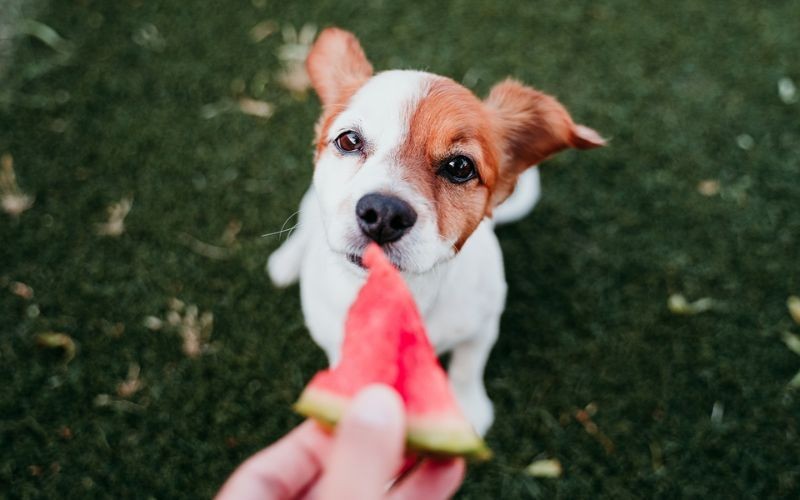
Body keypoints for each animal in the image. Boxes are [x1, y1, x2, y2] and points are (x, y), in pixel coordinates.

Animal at [266, 28, 604, 434]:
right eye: (348, 140)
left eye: (460, 166)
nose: (383, 213)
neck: (411, 292)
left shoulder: (483, 326)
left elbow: (467, 367)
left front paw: (467, 409)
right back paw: (287, 261)